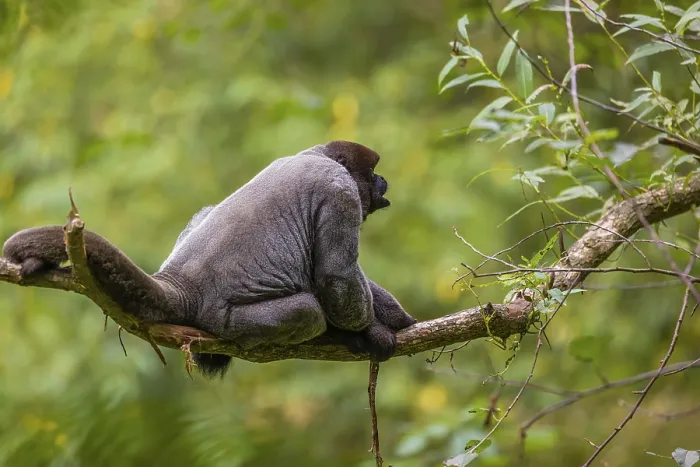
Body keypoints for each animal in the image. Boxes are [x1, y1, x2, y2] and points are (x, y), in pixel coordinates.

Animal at [2, 141, 417, 377]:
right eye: (373, 173)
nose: (382, 182)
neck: (314, 155)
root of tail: (181, 283)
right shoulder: (340, 189)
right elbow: (336, 276)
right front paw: (375, 328)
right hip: (231, 320)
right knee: (310, 310)